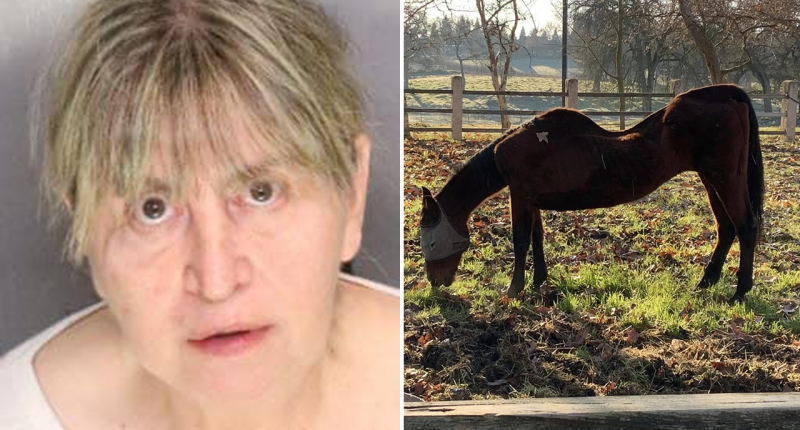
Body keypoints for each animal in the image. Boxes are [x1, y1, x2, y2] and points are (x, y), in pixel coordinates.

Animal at [419, 84, 764, 304]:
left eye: (431, 242)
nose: (435, 283)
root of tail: (727, 93)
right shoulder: (531, 199)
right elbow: (537, 237)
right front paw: (539, 280)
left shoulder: (519, 195)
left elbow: (520, 241)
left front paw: (514, 289)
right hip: (710, 179)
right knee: (726, 228)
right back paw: (706, 282)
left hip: (725, 177)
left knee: (745, 226)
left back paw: (740, 292)